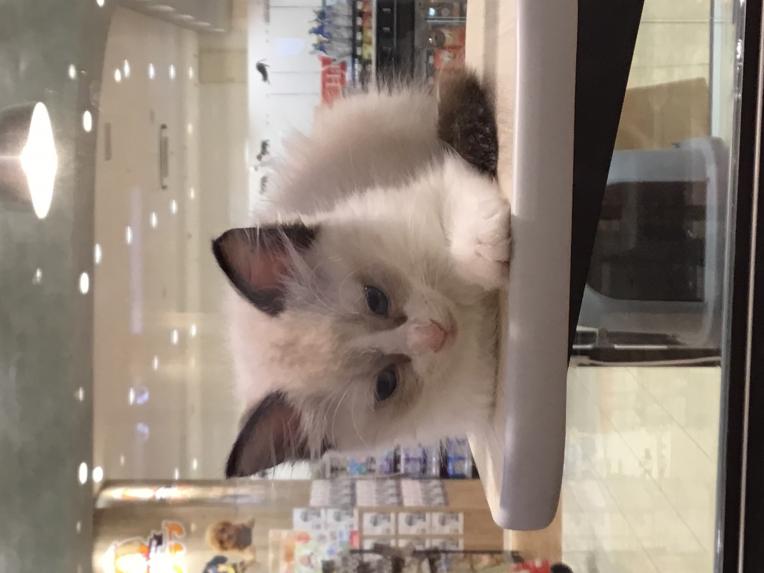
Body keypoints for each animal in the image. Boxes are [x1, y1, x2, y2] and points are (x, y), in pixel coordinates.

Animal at [212, 69, 509, 477]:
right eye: (385, 384)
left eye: (375, 298)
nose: (434, 334)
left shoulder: (432, 188)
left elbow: (464, 233)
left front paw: (490, 251)